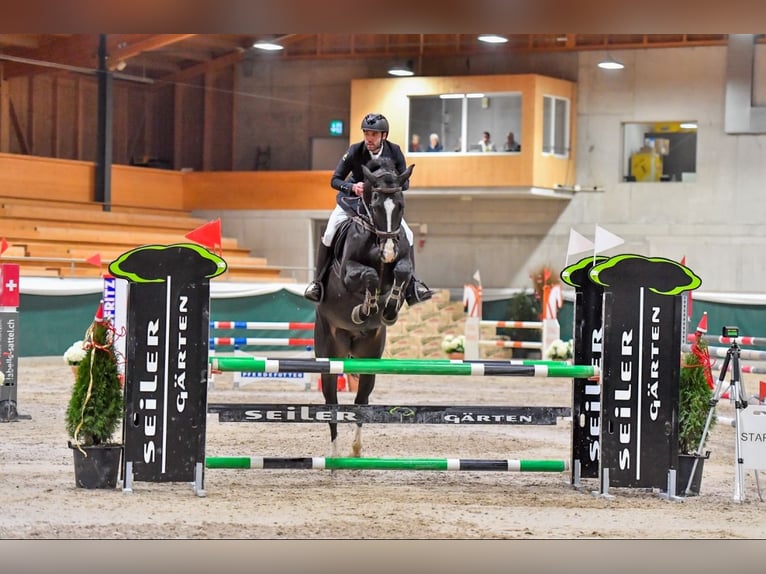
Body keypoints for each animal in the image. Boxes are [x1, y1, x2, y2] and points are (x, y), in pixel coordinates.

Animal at [314, 158, 415, 458]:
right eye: (376, 203)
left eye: (400, 204)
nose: (388, 252)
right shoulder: (348, 272)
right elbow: (368, 276)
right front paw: (364, 310)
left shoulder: (402, 265)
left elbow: (402, 273)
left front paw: (389, 309)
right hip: (329, 352)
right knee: (331, 400)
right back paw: (335, 453)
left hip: (369, 355)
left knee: (362, 398)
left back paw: (356, 450)